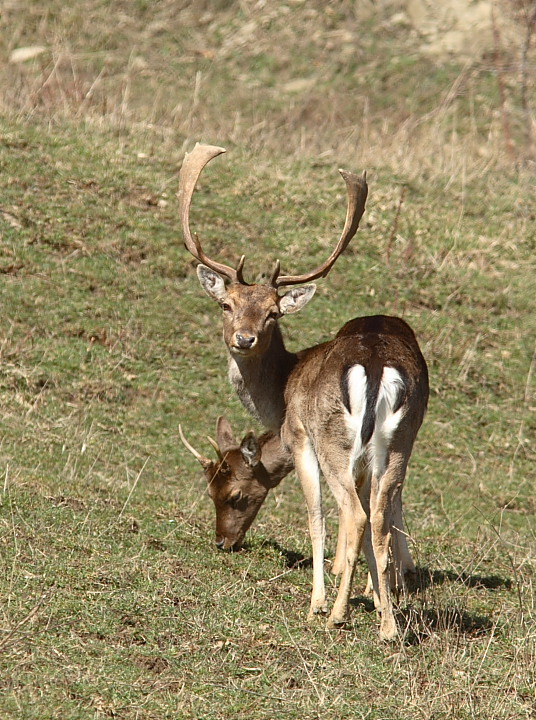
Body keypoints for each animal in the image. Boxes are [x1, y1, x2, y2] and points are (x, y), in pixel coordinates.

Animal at [178, 143, 430, 640]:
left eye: (273, 313)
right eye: (226, 305)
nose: (243, 339)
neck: (283, 387)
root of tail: (377, 365)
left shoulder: (300, 439)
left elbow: (316, 518)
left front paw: (323, 600)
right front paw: (377, 596)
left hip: (334, 439)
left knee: (353, 514)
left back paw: (333, 614)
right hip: (399, 440)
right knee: (380, 515)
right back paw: (389, 626)